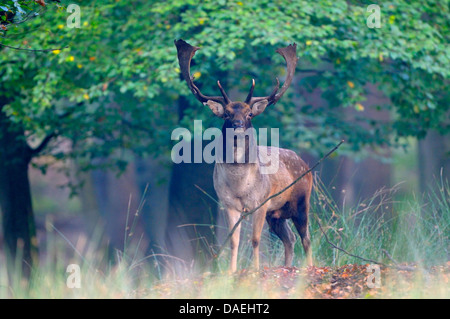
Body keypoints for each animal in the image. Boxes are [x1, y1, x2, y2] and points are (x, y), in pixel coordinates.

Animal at [175, 38, 312, 272]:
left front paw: (255, 270)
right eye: (227, 115)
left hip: (302, 201)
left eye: (249, 114)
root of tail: (306, 165)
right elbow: (234, 240)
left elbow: (255, 240)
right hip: (277, 214)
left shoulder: (261, 201)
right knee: (289, 238)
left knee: (306, 238)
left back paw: (310, 267)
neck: (240, 185)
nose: (238, 125)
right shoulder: (228, 203)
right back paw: (286, 267)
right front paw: (231, 271)